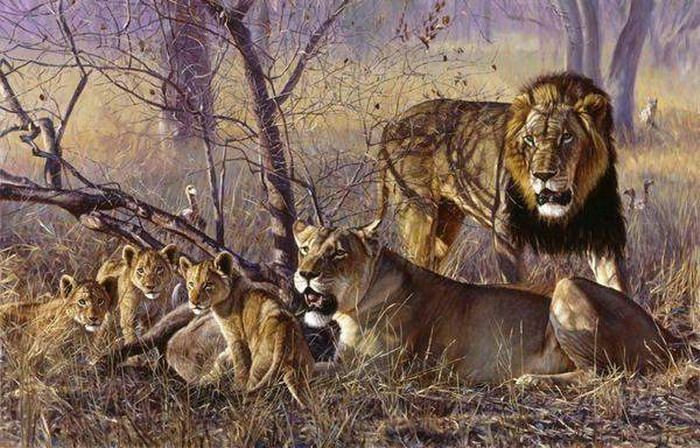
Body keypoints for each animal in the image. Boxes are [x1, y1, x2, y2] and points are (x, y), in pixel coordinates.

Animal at [178, 252, 315, 407]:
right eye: (191, 284)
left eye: (207, 285)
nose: (193, 302)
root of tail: (284, 324)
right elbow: (223, 358)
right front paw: (207, 378)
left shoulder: (236, 337)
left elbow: (239, 364)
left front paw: (237, 385)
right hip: (299, 372)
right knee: (307, 399)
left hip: (260, 366)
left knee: (254, 394)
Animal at [292, 220, 696, 385]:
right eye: (305, 248)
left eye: (338, 253)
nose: (304, 273)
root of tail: (667, 334)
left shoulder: (376, 371)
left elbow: (308, 369)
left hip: (568, 286)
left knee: (608, 375)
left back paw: (530, 381)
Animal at [377, 72, 628, 292]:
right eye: (529, 139)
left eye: (567, 137)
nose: (542, 175)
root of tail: (392, 123)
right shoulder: (505, 230)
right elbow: (516, 284)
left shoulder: (601, 232)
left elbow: (615, 286)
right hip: (418, 209)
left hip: (447, 219)